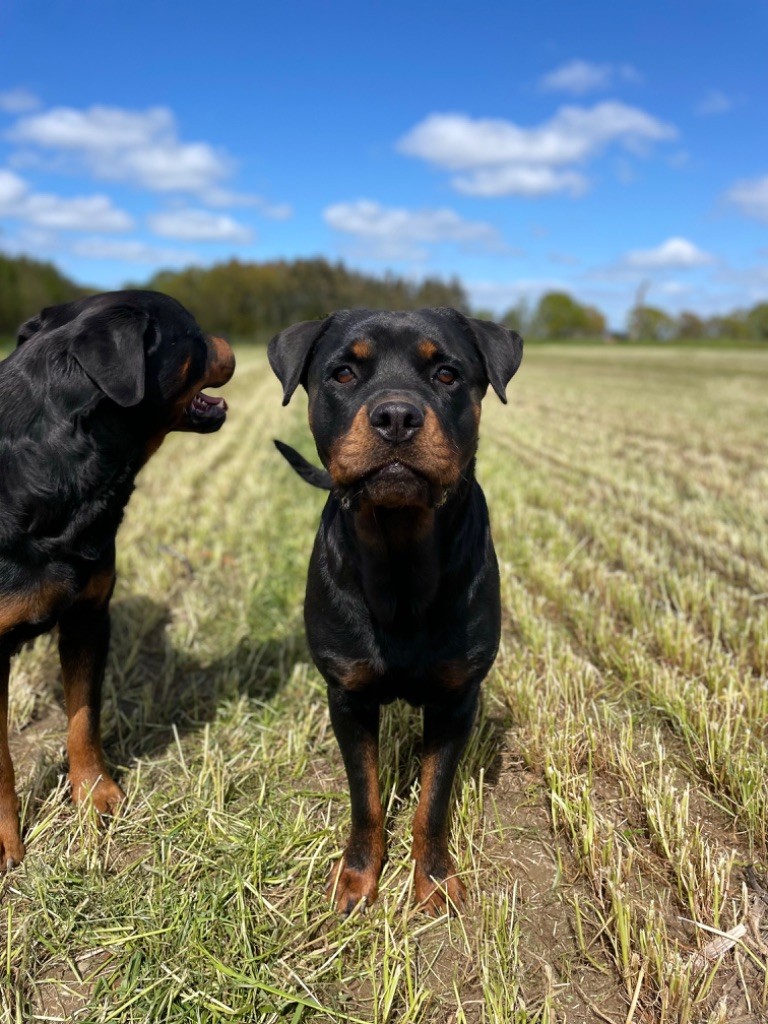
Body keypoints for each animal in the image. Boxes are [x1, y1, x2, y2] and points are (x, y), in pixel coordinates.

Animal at [0, 290, 234, 872]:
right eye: (193, 333)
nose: (228, 344)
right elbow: (0, 762)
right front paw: (5, 841)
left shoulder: (89, 615)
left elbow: (84, 716)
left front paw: (96, 795)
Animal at [268, 303, 524, 913]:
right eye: (342, 373)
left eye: (447, 373)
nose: (397, 417)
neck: (401, 557)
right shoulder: (349, 696)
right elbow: (366, 796)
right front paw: (358, 876)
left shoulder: (456, 699)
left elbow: (433, 799)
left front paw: (433, 878)